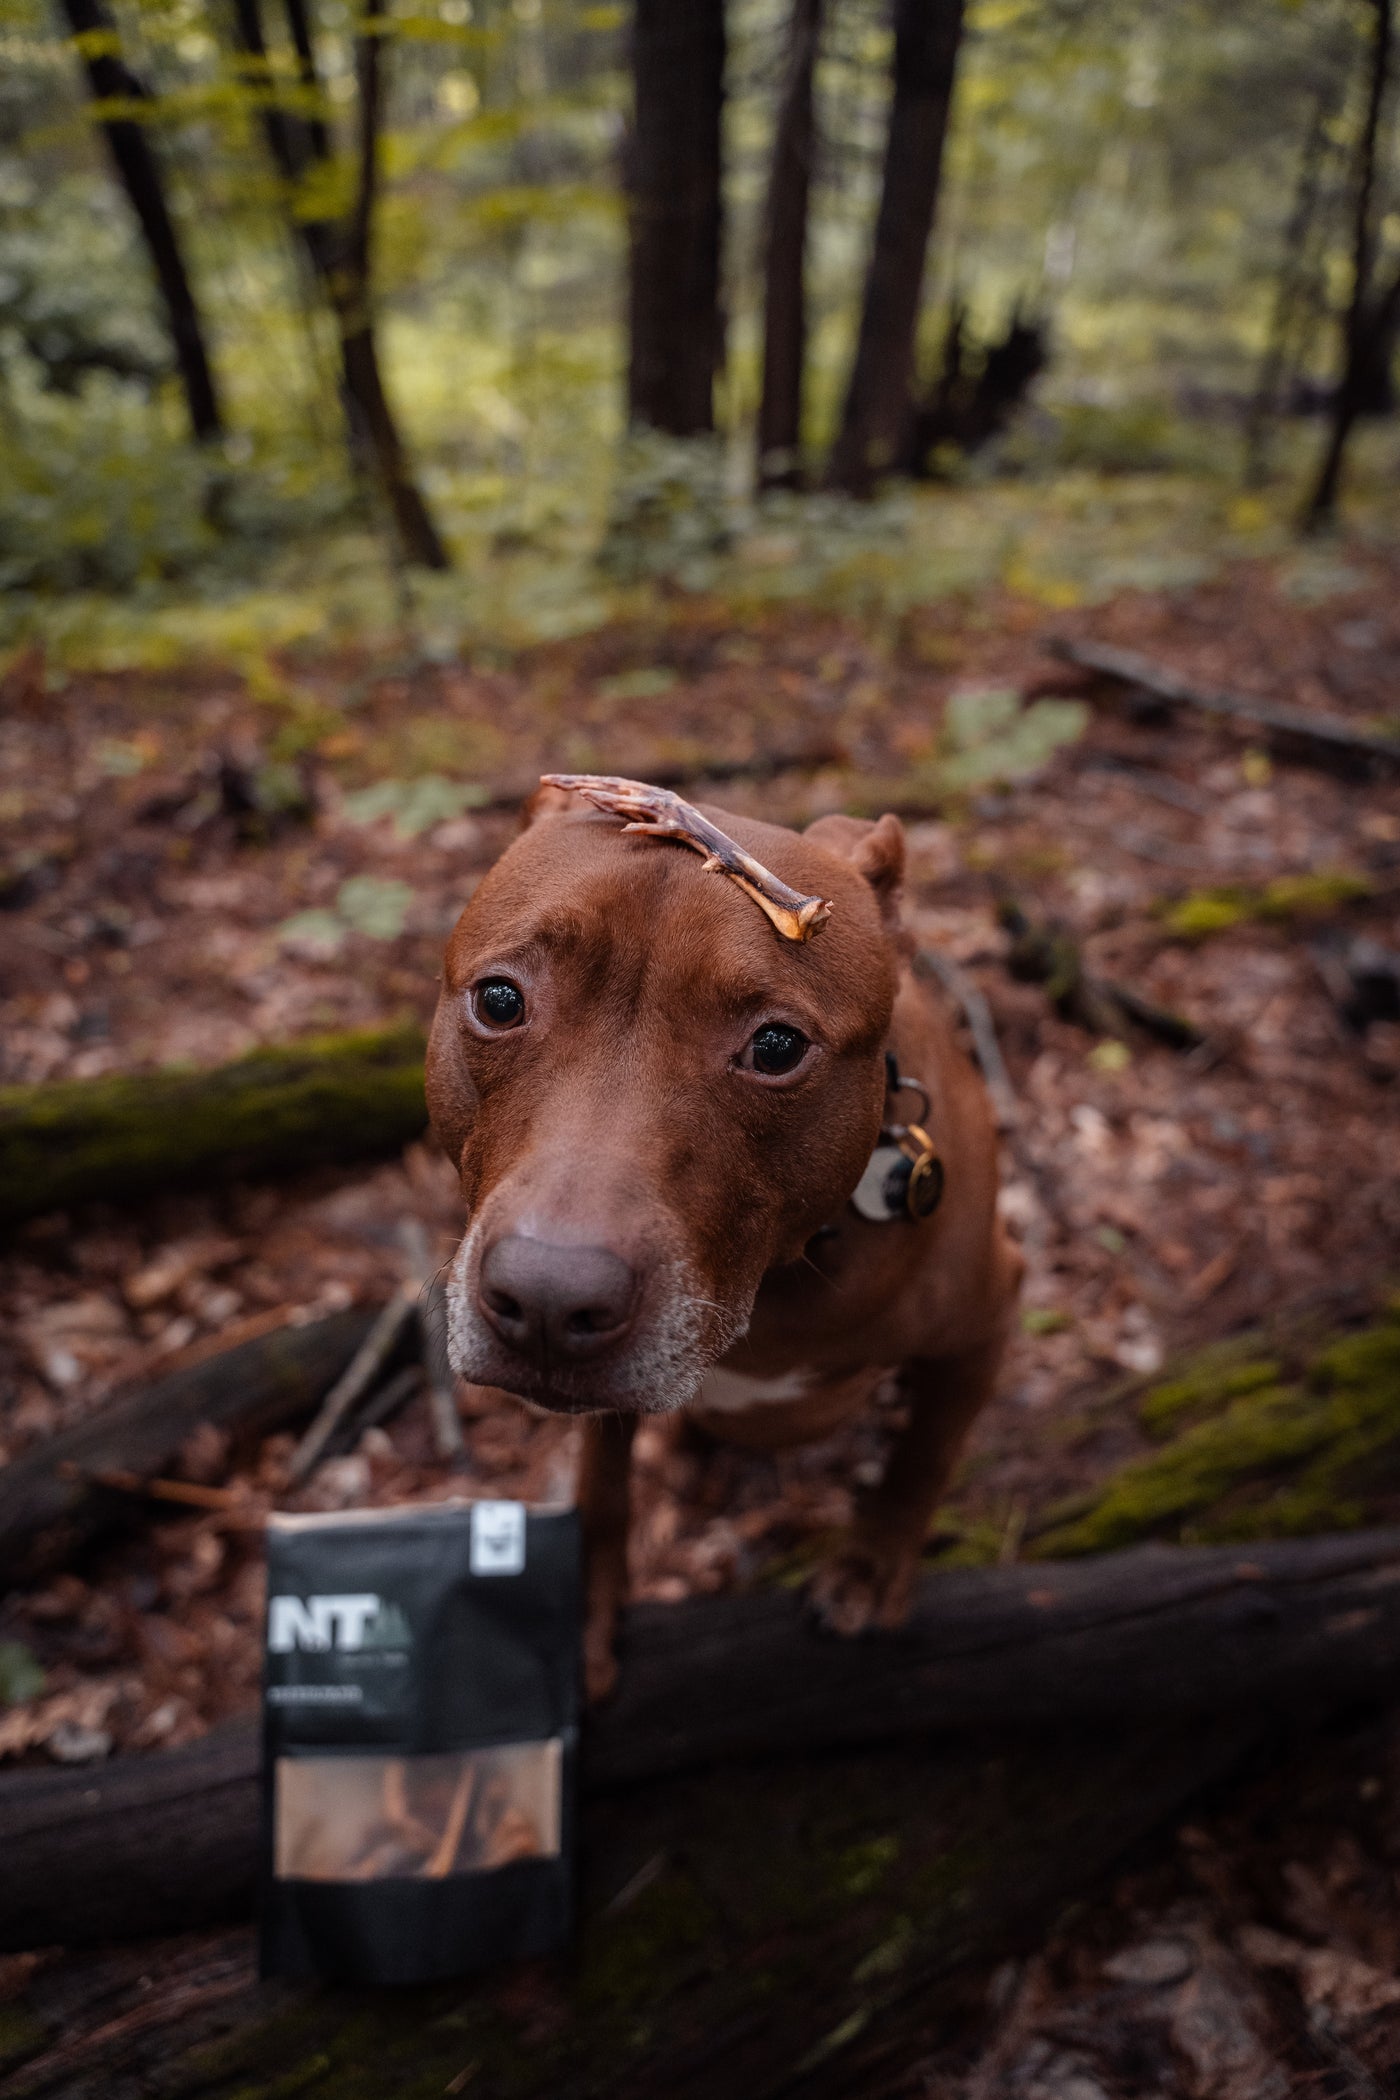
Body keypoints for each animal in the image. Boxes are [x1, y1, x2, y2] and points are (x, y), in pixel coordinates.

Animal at [423, 781, 1020, 1696]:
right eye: (499, 1001)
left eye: (776, 1046)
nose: (549, 1301)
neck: (775, 1278)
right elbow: (602, 1488)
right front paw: (587, 1605)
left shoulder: (983, 1323)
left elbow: (922, 1456)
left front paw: (870, 1568)